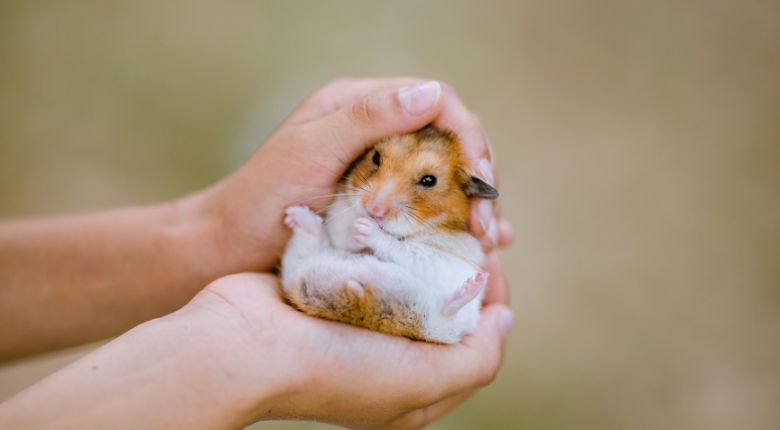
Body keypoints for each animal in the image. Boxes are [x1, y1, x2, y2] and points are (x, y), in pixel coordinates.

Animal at [280, 125, 498, 343]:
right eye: (376, 157)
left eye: (429, 180)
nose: (373, 210)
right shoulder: (338, 218)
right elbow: (343, 234)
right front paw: (357, 226)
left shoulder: (442, 256)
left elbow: (403, 248)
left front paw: (364, 228)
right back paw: (296, 216)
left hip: (448, 323)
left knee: (447, 312)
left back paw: (473, 285)